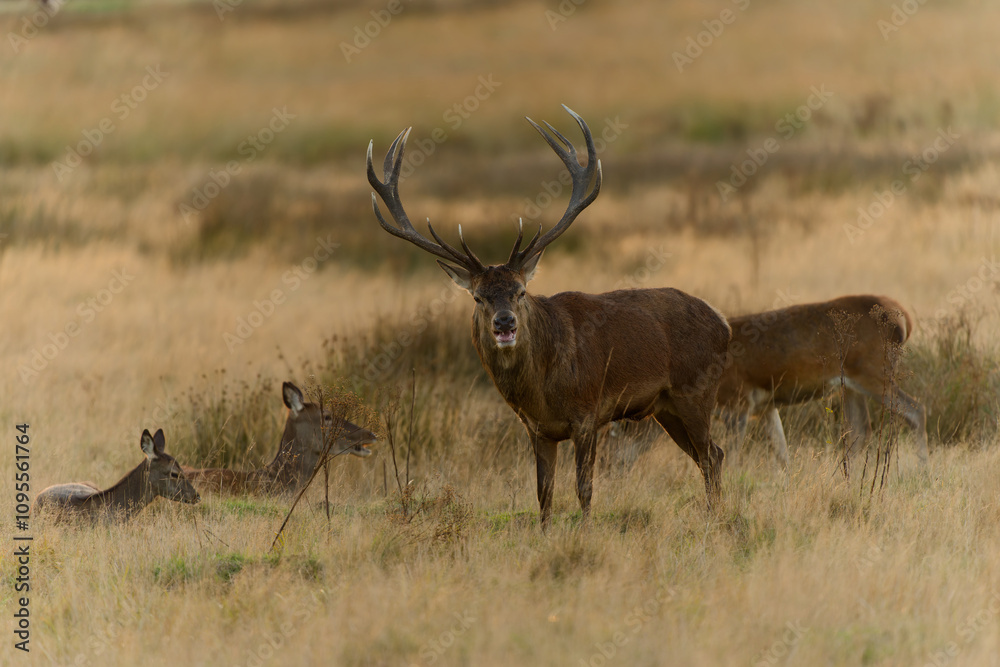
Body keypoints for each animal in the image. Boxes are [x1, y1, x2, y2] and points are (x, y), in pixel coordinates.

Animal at [372, 105, 732, 528]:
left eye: (520, 291)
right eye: (478, 297)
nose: (505, 323)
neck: (542, 392)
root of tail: (724, 323)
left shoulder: (589, 414)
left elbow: (584, 489)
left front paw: (587, 531)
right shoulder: (537, 429)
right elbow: (543, 493)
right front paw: (544, 534)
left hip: (696, 390)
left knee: (712, 455)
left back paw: (716, 518)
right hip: (666, 407)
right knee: (708, 456)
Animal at [716, 294, 924, 468]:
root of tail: (905, 319)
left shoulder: (737, 399)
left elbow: (731, 460)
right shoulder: (765, 406)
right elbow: (782, 454)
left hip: (873, 371)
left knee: (915, 410)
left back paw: (922, 470)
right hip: (853, 385)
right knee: (861, 430)